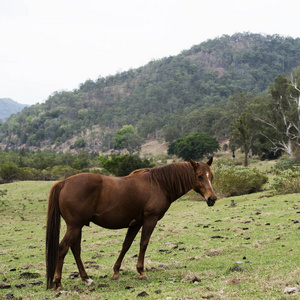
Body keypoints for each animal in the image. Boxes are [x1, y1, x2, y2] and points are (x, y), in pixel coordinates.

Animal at [45, 158, 217, 290]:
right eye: (200, 176)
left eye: (212, 176)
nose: (212, 198)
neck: (159, 183)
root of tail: (64, 182)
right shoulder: (150, 219)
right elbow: (143, 243)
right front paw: (141, 272)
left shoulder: (135, 223)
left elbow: (126, 245)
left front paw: (116, 272)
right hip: (74, 226)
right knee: (63, 248)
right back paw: (58, 283)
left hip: (77, 226)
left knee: (75, 249)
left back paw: (86, 278)